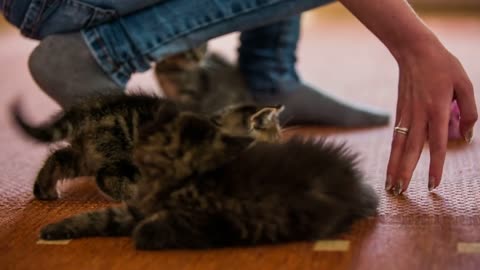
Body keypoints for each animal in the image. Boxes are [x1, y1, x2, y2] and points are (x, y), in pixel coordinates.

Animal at [11, 93, 284, 200]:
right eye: (275, 139)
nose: (283, 146)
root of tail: (89, 110)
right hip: (119, 153)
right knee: (105, 177)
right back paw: (130, 194)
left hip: (87, 154)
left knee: (58, 158)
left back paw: (44, 190)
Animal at [40, 137, 378, 249]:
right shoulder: (136, 208)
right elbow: (96, 218)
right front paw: (52, 229)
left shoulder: (203, 221)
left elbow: (152, 229)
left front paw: (142, 234)